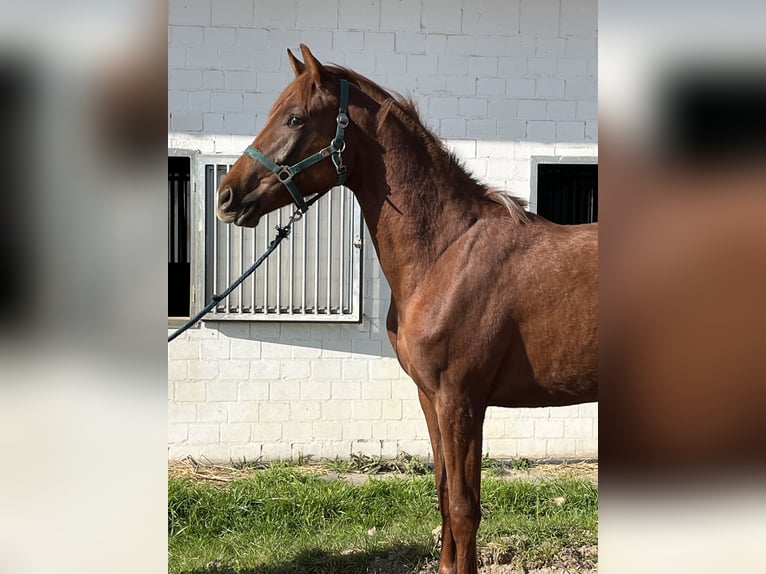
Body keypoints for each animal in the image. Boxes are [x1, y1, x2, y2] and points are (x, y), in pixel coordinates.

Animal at [216, 46, 600, 574]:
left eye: (294, 118)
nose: (227, 196)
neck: (445, 254)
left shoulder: (460, 402)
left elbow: (463, 508)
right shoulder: (432, 399)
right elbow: (444, 497)